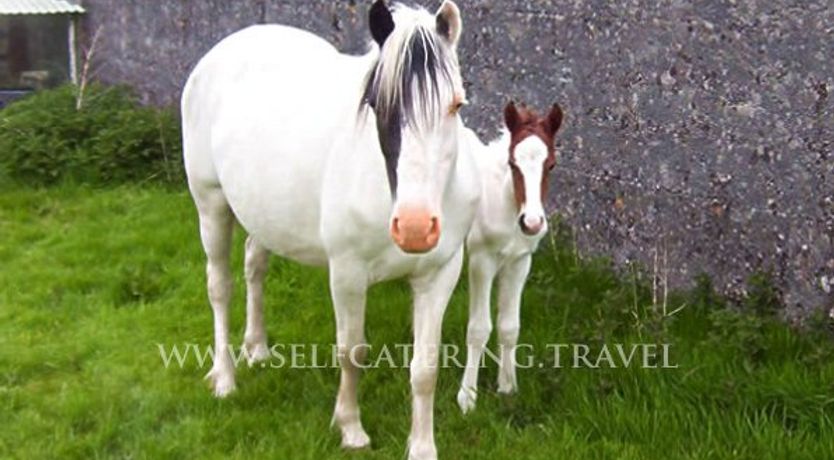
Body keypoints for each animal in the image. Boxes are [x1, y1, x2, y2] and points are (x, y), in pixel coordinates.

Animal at [182, 1, 478, 458]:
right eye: (376, 104)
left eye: (456, 105)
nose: (414, 228)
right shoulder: (347, 273)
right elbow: (352, 351)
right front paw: (350, 428)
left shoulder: (439, 274)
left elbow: (426, 366)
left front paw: (422, 446)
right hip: (210, 203)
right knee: (219, 286)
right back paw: (225, 378)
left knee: (254, 265)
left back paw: (257, 348)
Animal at [452, 102, 564, 416]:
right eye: (513, 164)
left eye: (551, 165)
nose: (533, 223)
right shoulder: (481, 260)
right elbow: (479, 328)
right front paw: (467, 396)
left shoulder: (520, 261)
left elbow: (509, 326)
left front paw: (508, 387)